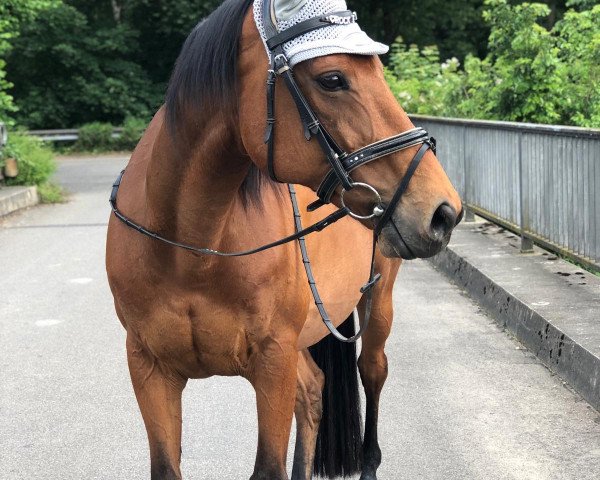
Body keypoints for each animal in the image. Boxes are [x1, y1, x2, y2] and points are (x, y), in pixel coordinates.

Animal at [105, 0, 462, 480]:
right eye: (332, 79)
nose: (444, 211)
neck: (193, 251)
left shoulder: (273, 362)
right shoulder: (149, 366)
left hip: (377, 299)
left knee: (372, 370)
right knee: (313, 392)